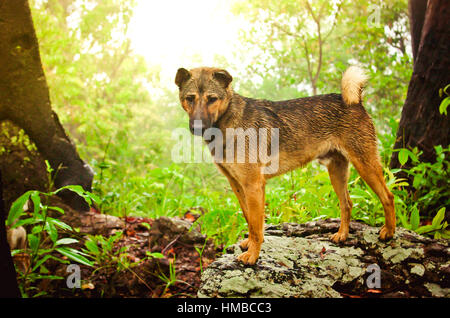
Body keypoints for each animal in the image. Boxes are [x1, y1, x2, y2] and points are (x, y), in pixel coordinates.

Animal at [174, 66, 396, 264]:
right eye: (190, 98)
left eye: (212, 99)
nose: (197, 127)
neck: (228, 121)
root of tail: (355, 101)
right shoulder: (238, 185)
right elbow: (250, 220)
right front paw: (249, 245)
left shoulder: (253, 185)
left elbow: (256, 225)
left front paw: (252, 256)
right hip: (336, 171)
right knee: (347, 203)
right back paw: (342, 235)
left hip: (365, 165)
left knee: (388, 196)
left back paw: (389, 232)